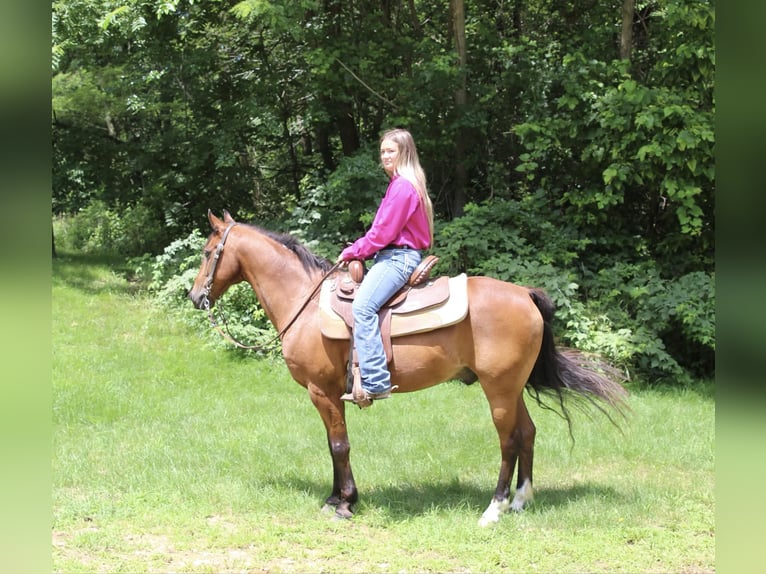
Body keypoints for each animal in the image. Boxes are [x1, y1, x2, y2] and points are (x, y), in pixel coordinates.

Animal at [188, 210, 628, 526]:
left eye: (209, 253)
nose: (195, 297)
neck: (306, 303)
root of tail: (525, 294)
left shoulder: (322, 391)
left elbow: (339, 445)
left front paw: (344, 504)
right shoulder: (329, 394)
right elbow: (334, 445)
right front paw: (335, 497)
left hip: (499, 390)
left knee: (508, 440)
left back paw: (494, 508)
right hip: (512, 387)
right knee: (528, 433)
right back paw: (521, 501)